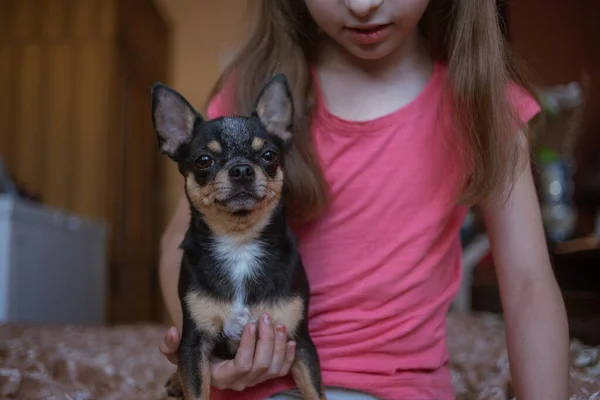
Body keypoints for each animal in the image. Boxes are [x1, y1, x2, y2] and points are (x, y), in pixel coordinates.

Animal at [152, 75, 326, 400]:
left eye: (269, 156)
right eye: (203, 160)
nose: (242, 169)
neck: (240, 242)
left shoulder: (301, 343)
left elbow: (315, 392)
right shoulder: (193, 346)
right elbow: (197, 391)